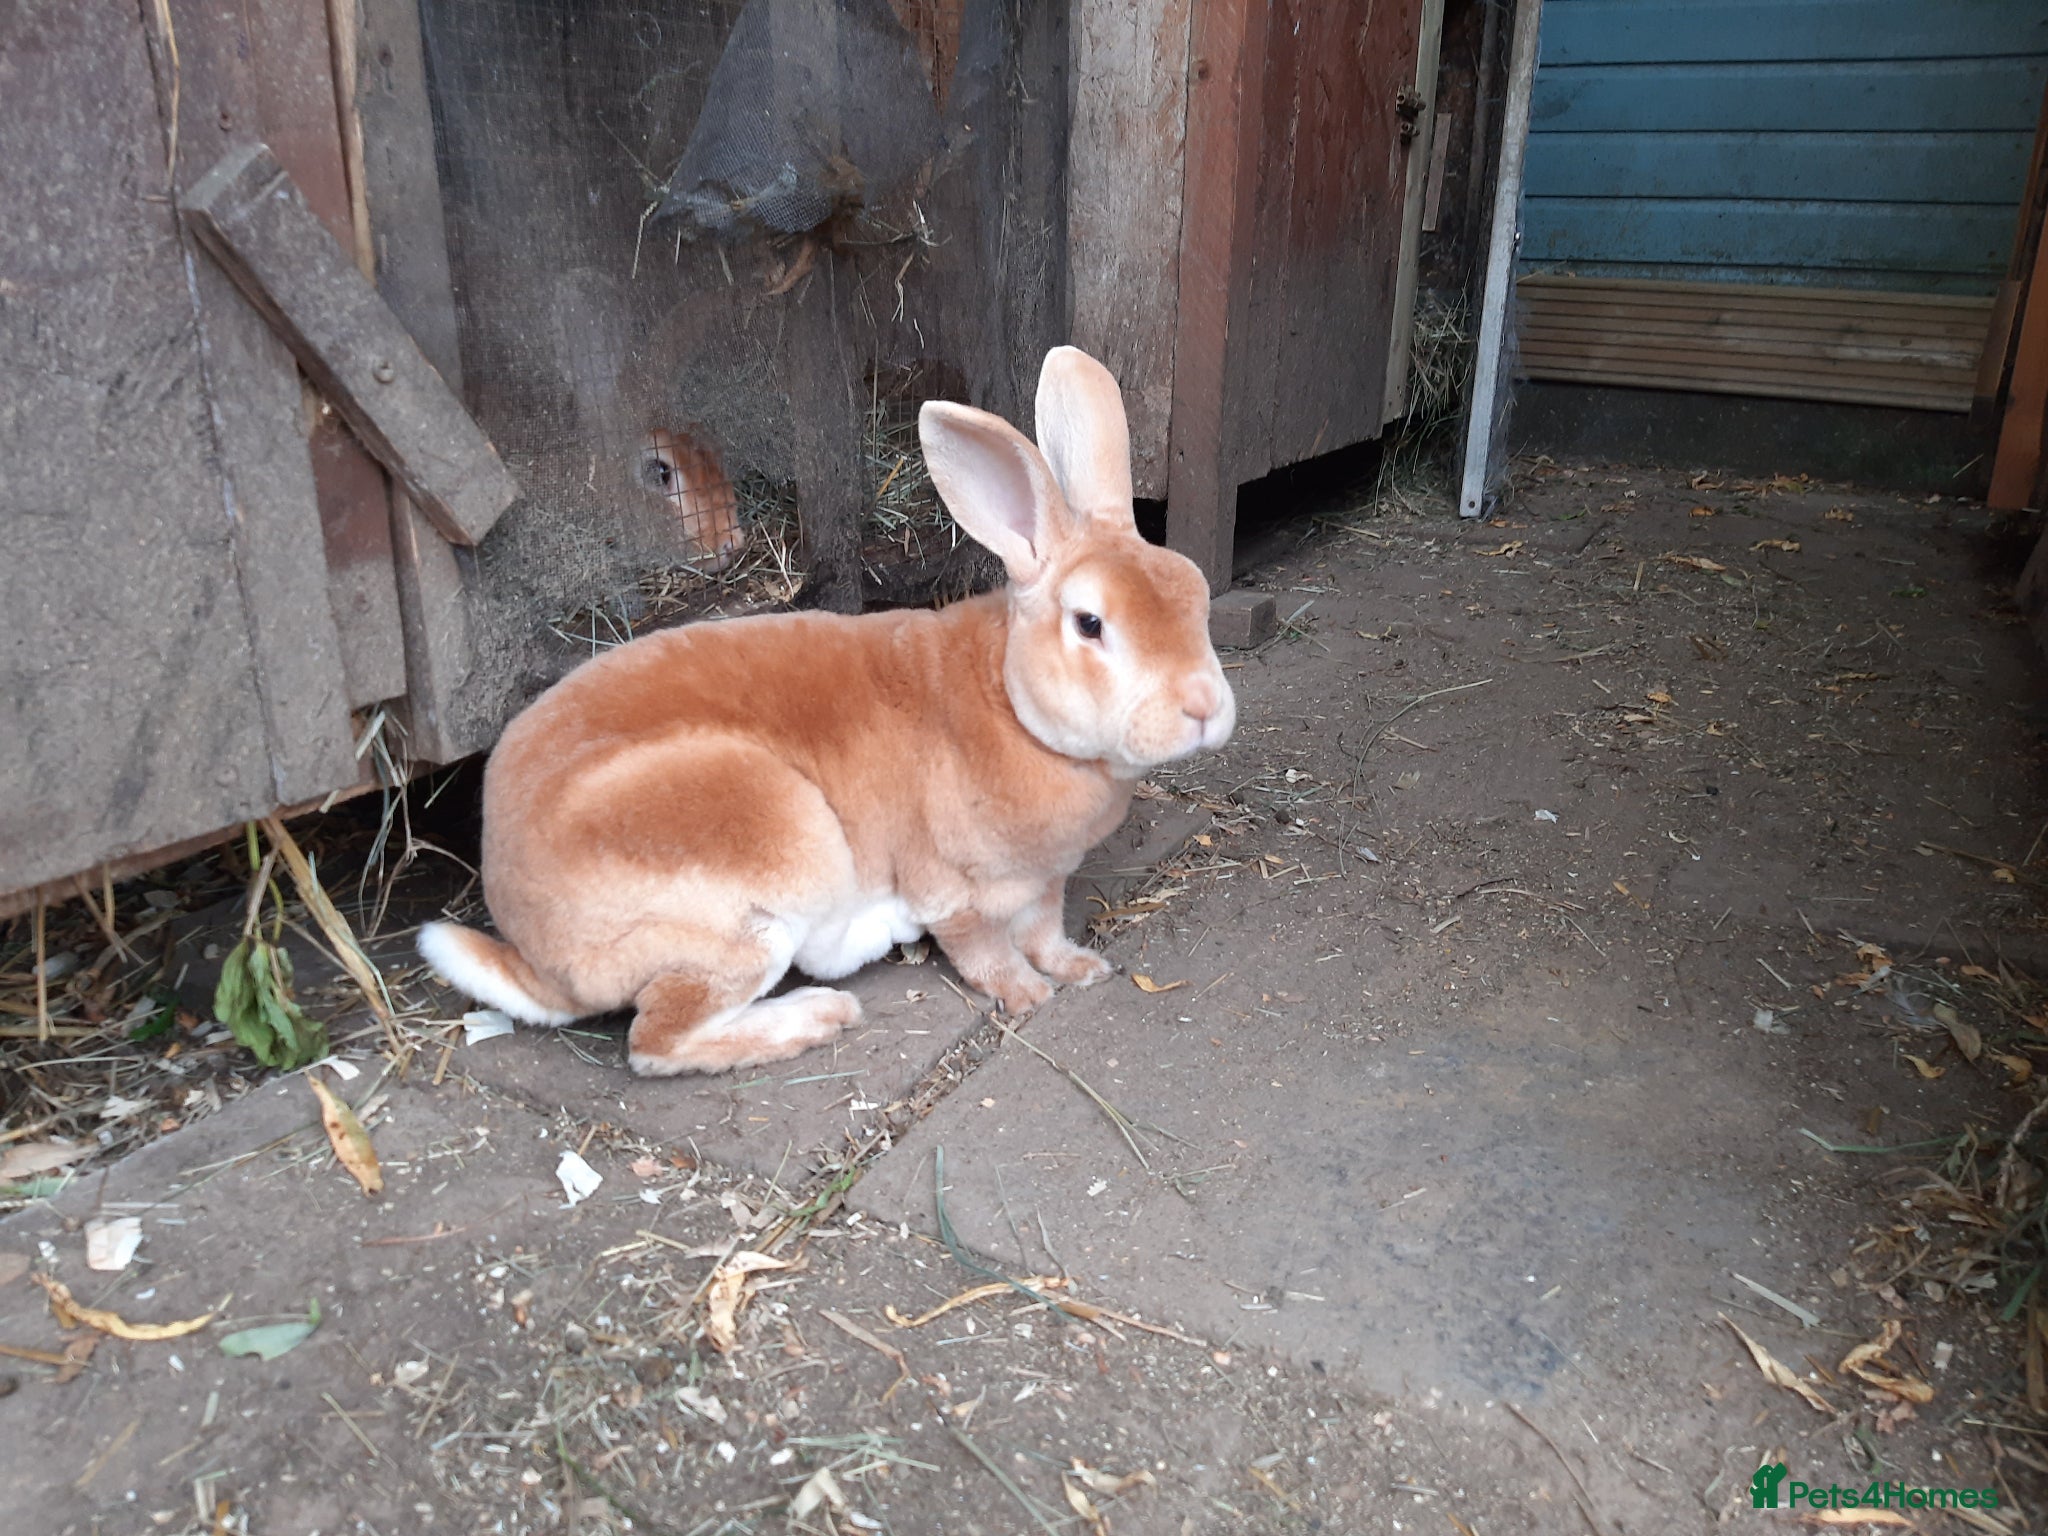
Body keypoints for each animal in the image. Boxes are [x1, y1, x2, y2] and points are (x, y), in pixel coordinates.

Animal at [417, 346, 1234, 1076]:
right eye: (1090, 624)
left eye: (1194, 591)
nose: (1204, 706)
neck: (1007, 700)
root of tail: (531, 951)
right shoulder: (950, 888)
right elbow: (984, 950)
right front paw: (1028, 996)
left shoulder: (1044, 883)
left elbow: (1044, 931)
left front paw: (1081, 968)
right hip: (770, 868)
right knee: (657, 1042)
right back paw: (818, 1016)